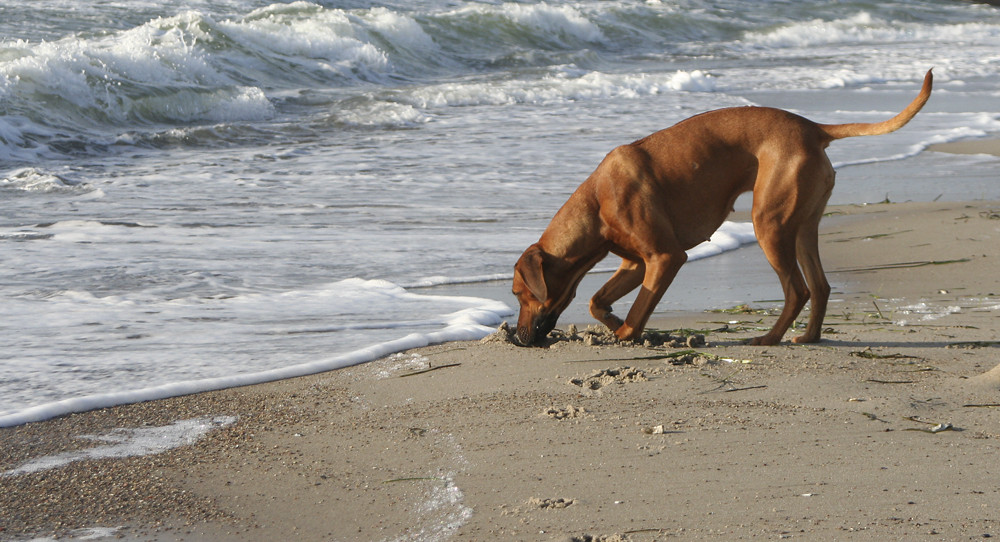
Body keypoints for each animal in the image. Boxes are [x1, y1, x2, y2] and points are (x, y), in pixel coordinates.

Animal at [512, 70, 932, 346]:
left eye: (518, 294)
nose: (516, 338)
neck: (597, 204)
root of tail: (813, 128)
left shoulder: (665, 258)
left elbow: (639, 308)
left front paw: (627, 332)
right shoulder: (636, 263)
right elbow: (596, 301)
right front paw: (613, 322)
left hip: (769, 225)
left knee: (797, 289)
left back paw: (769, 338)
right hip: (802, 227)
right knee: (820, 285)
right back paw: (809, 337)